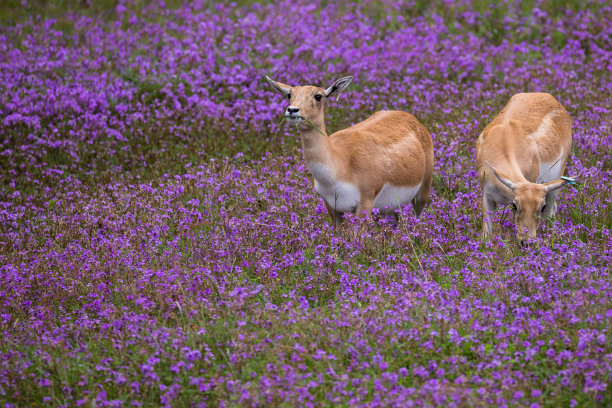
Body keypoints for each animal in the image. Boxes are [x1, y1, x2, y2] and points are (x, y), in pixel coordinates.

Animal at [266, 75, 432, 226]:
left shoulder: (365, 201)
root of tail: (412, 118)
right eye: (289, 94)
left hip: (422, 194)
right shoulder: (331, 206)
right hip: (391, 208)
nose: (292, 110)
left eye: (318, 96)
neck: (340, 165)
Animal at [476, 92, 576, 244]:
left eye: (541, 207)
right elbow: (486, 233)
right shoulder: (487, 196)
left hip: (556, 182)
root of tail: (549, 97)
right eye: (514, 205)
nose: (527, 242)